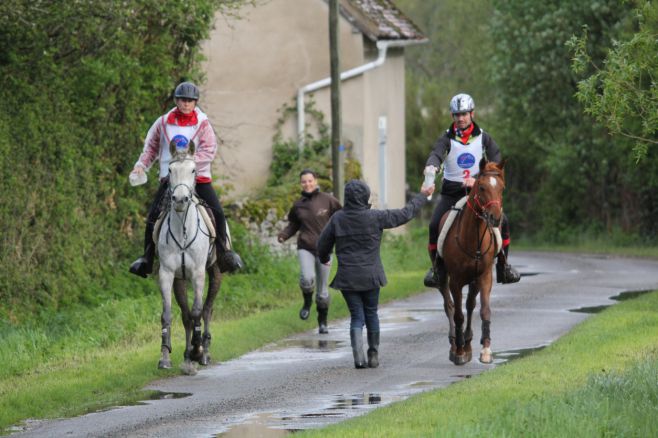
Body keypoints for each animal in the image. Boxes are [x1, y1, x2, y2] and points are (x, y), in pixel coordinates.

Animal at [158, 140, 222, 372]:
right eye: (170, 170)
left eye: (194, 170)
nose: (179, 200)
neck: (183, 231)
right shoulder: (167, 274)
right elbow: (168, 314)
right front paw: (165, 357)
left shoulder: (198, 273)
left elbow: (197, 311)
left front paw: (198, 349)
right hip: (180, 280)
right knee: (186, 316)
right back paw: (187, 356)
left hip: (215, 273)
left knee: (207, 310)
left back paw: (204, 352)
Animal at [434, 159, 504, 364]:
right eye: (481, 187)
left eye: (502, 188)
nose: (495, 218)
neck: (474, 241)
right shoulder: (455, 281)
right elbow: (457, 314)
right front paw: (458, 352)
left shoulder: (485, 276)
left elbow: (484, 310)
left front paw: (486, 350)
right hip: (443, 279)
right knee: (449, 306)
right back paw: (455, 343)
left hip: (474, 281)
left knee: (470, 305)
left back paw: (467, 342)